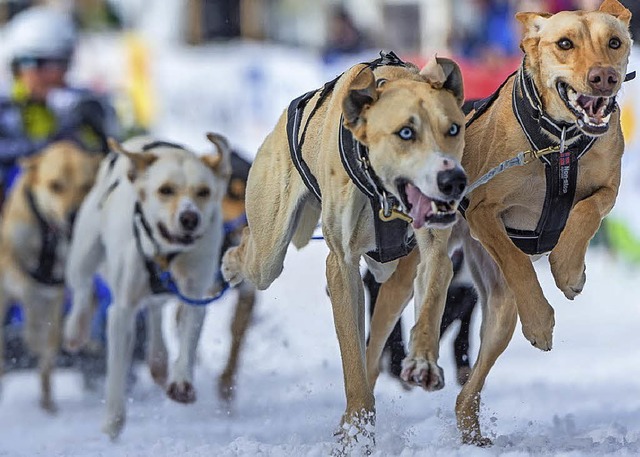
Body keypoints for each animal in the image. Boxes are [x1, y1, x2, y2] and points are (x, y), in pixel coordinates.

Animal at [62, 134, 231, 438]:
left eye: (203, 192)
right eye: (165, 190)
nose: (190, 218)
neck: (166, 254)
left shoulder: (194, 296)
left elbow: (188, 340)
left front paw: (182, 382)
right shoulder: (121, 311)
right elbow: (117, 370)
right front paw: (113, 420)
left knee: (155, 309)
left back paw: (159, 361)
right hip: (84, 253)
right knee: (82, 289)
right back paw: (75, 329)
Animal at [222, 51, 468, 450]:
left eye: (453, 129)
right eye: (406, 133)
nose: (453, 181)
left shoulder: (434, 254)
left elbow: (431, 300)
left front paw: (423, 362)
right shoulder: (342, 266)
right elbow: (352, 358)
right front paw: (357, 428)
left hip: (394, 280)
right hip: (269, 253)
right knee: (254, 252)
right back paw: (230, 262)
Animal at [368, 0, 632, 446]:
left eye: (614, 42)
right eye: (564, 43)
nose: (604, 77)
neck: (560, 143)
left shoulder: (608, 188)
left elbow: (586, 212)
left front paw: (569, 268)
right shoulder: (482, 210)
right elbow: (517, 260)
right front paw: (541, 318)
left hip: (500, 313)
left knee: (467, 393)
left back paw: (471, 434)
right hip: (405, 282)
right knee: (375, 349)